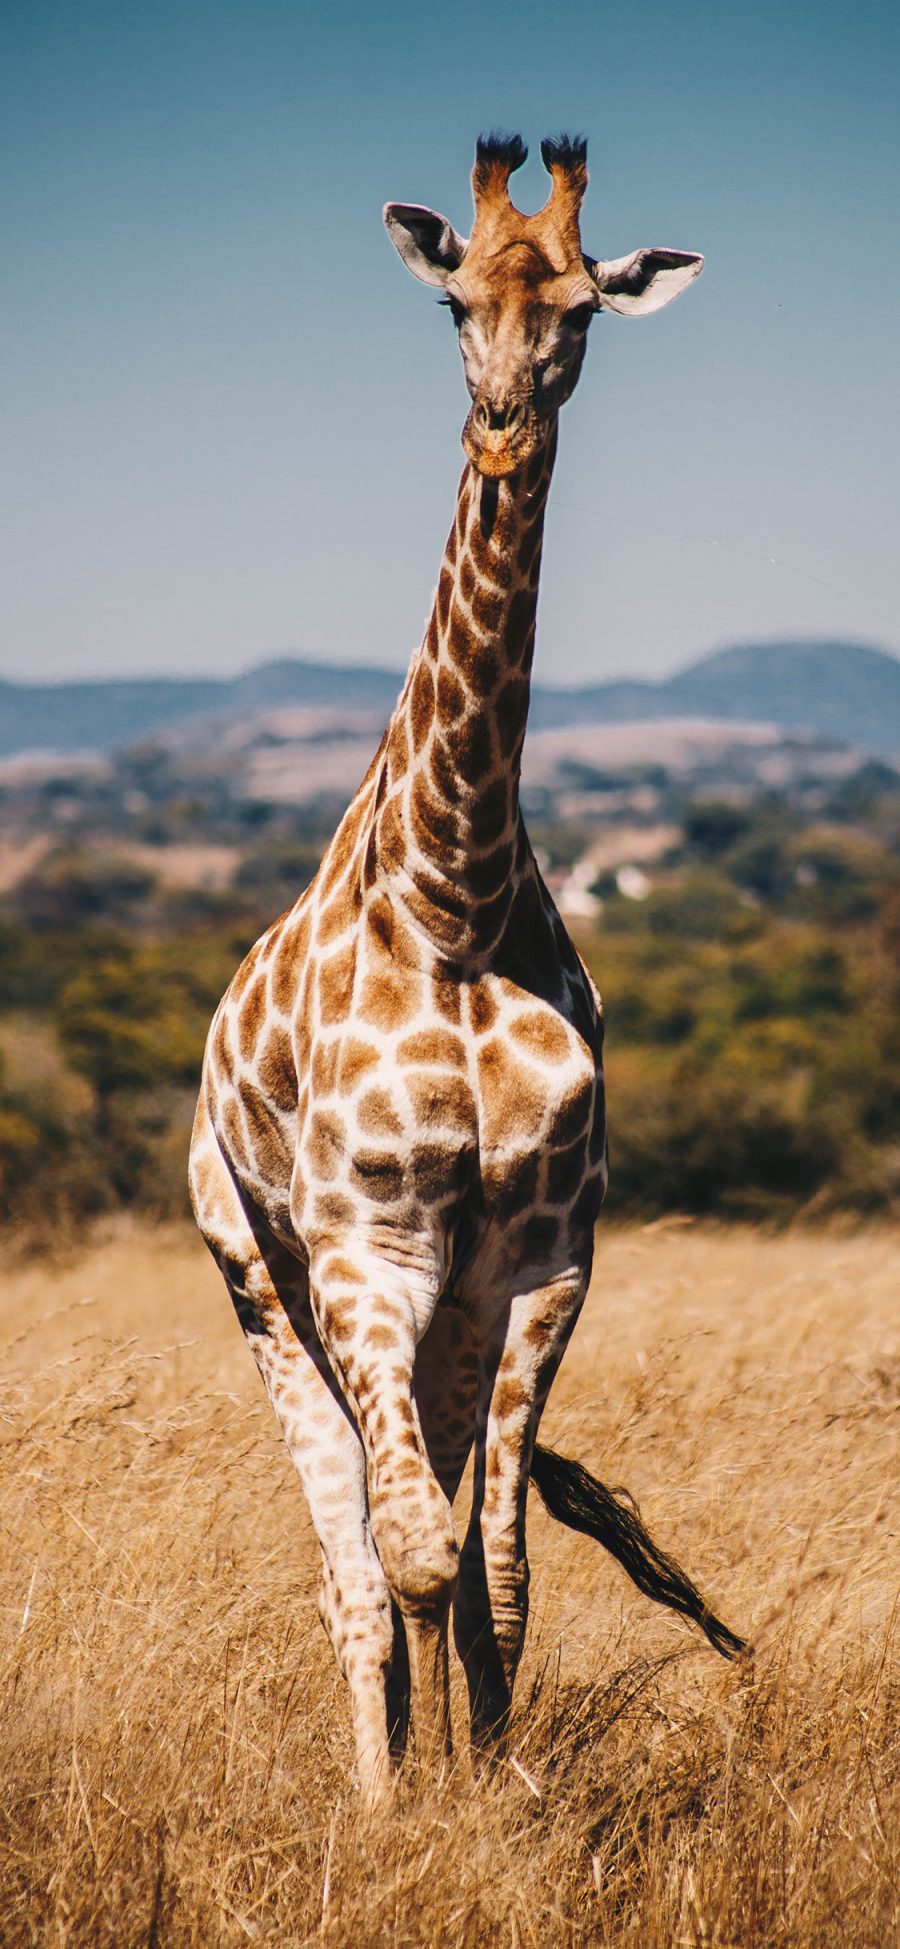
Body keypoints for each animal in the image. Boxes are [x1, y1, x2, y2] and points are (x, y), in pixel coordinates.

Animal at [191, 133, 744, 1808]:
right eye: (451, 305)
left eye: (581, 308)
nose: (501, 427)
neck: (457, 895)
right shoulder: (369, 1249)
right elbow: (413, 1556)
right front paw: (418, 1818)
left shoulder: (542, 1263)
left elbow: (496, 1570)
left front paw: (505, 1794)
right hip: (262, 1277)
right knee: (354, 1562)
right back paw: (379, 1794)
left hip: (435, 1314)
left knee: (430, 1525)